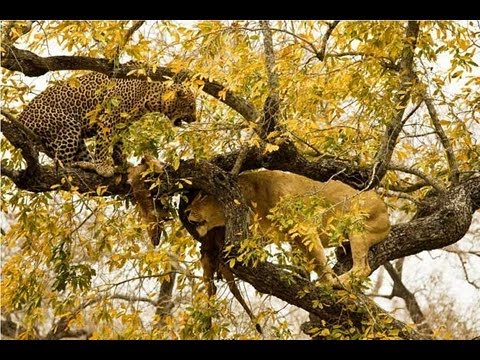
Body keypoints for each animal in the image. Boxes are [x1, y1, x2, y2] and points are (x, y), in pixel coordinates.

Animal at [16, 71, 197, 177]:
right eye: (191, 106)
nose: (195, 119)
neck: (149, 97)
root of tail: (22, 117)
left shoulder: (122, 124)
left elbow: (119, 146)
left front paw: (122, 162)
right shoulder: (107, 119)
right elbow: (103, 145)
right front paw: (103, 167)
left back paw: (87, 164)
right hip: (67, 125)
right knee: (62, 162)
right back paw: (83, 165)